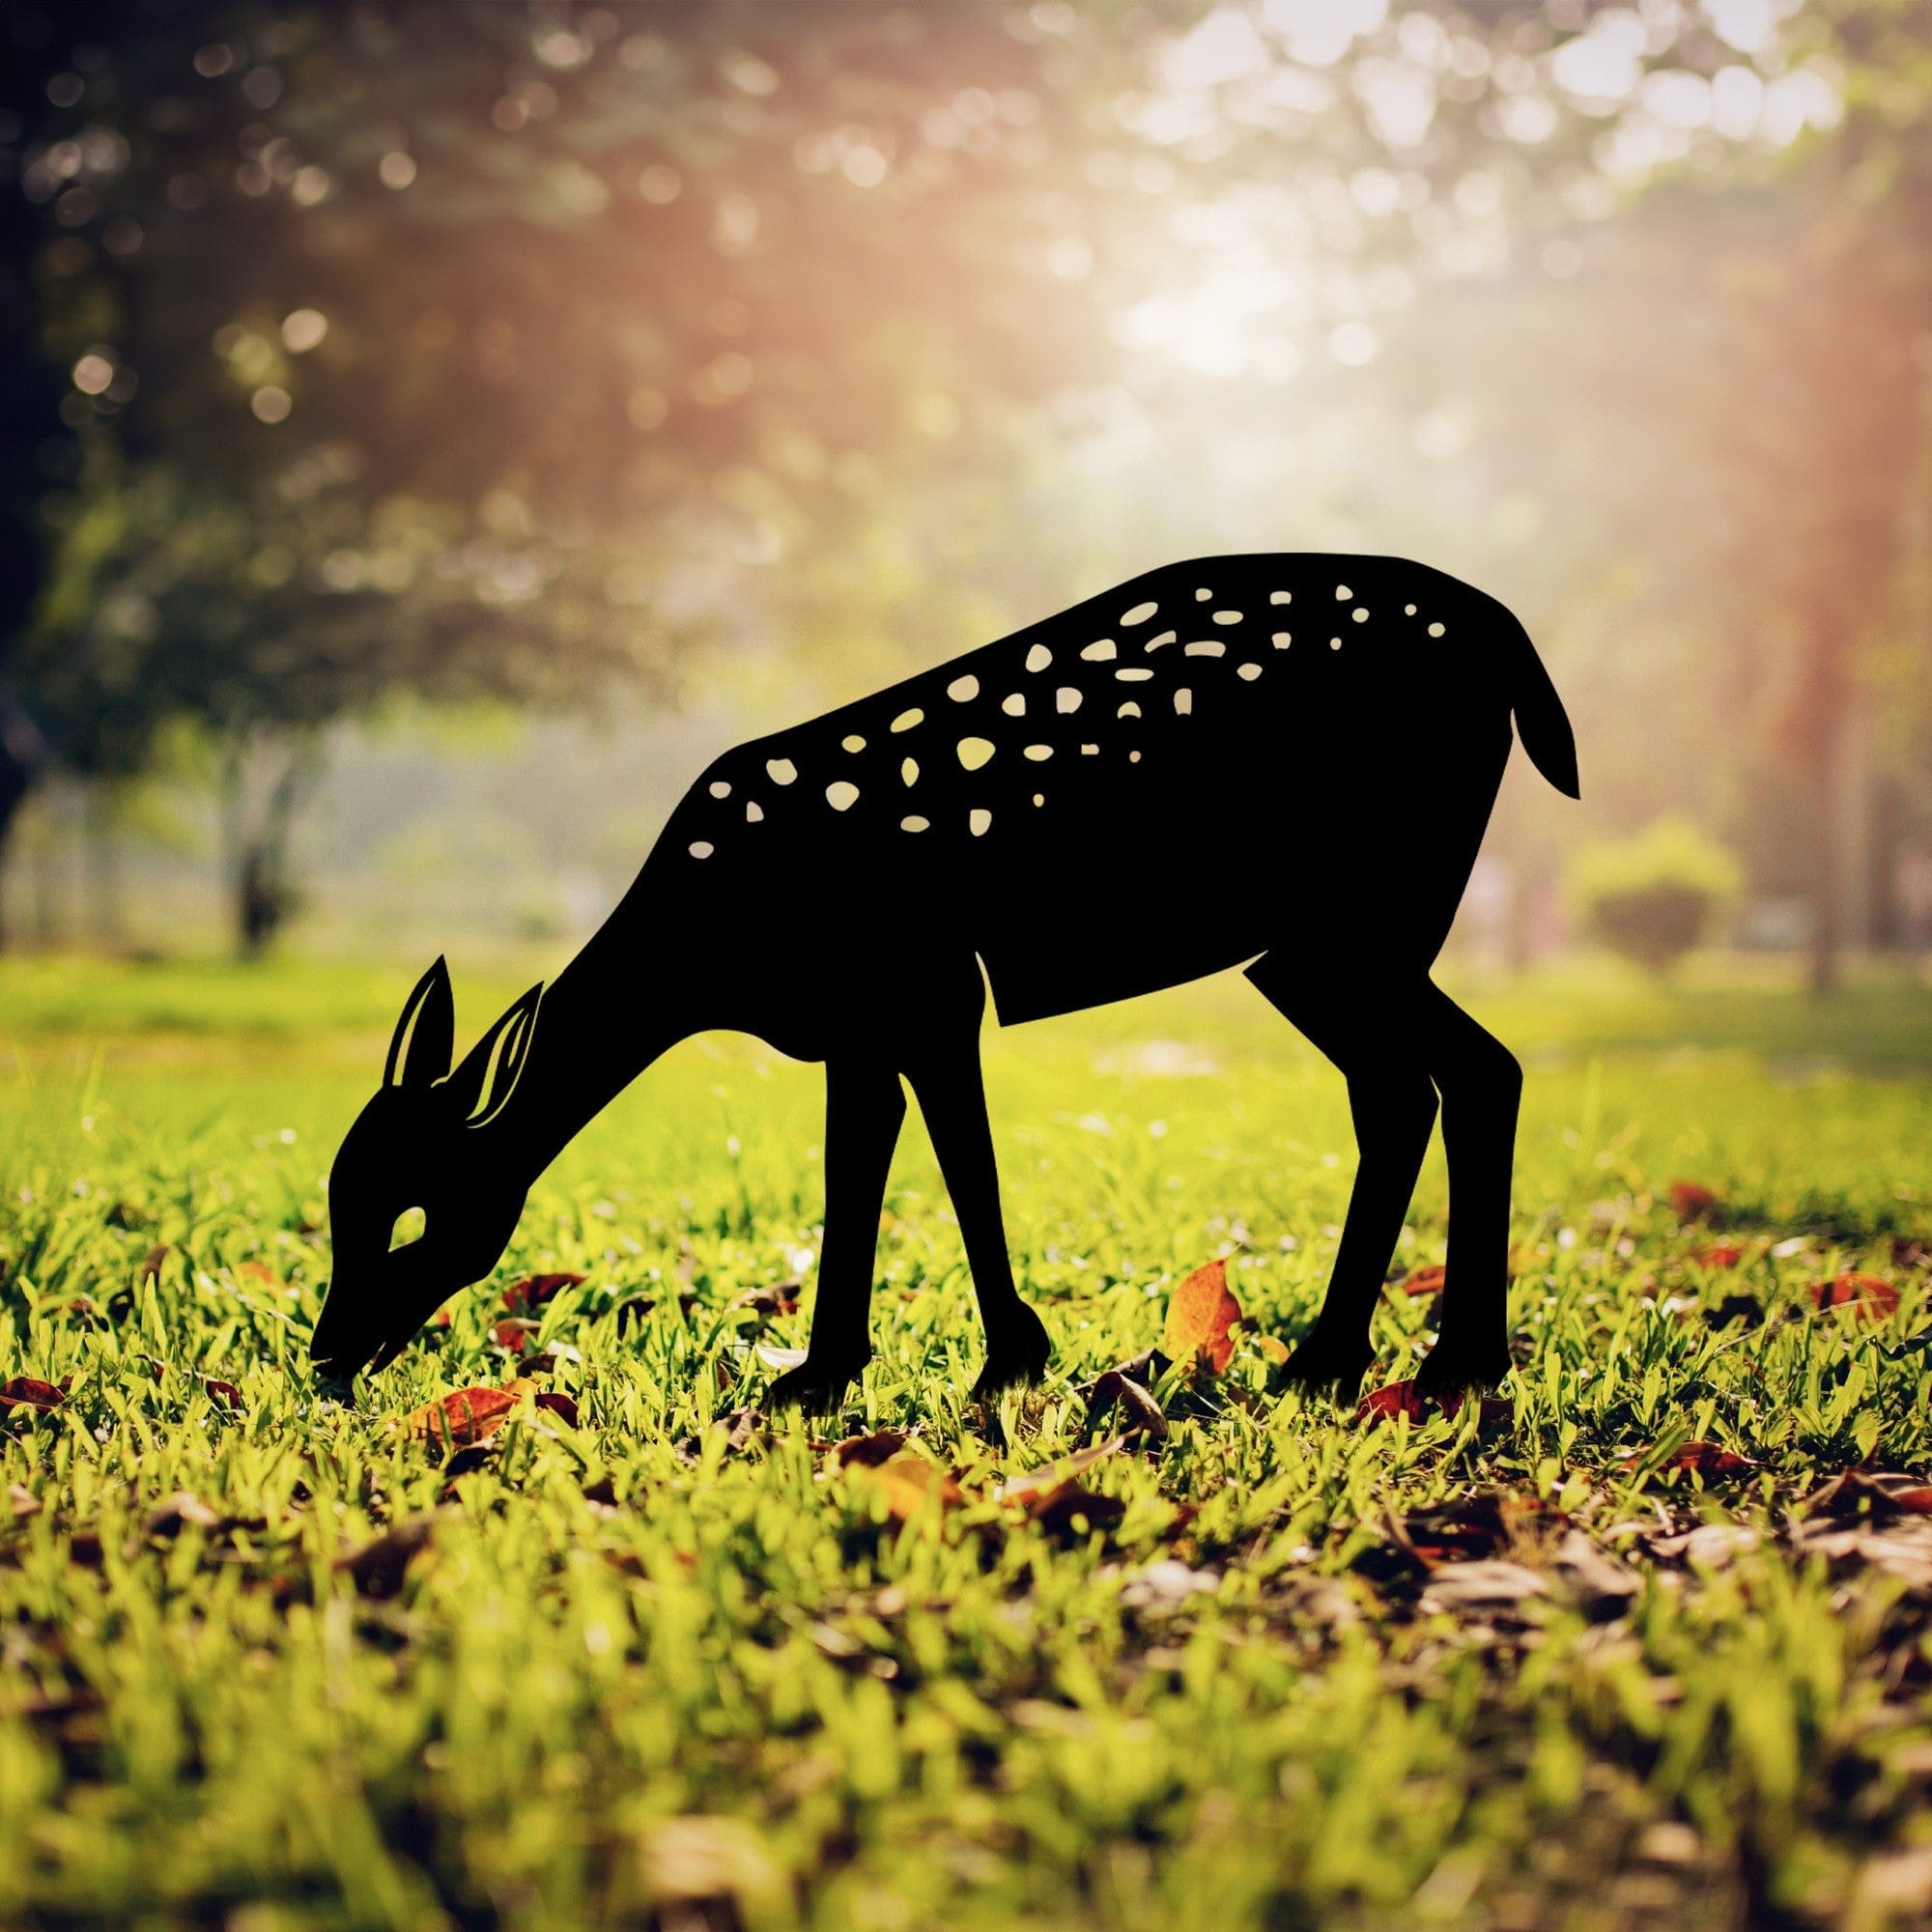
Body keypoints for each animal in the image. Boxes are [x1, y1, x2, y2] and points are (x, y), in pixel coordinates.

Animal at [312, 553, 1578, 1408]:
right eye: (336, 1205)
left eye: (414, 1209)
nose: (326, 1355)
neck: (714, 949)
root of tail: (1516, 651)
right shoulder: (857, 1017)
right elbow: (866, 1159)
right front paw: (828, 1374)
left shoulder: (923, 981)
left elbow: (959, 1158)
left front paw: (1000, 1364)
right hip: (1319, 941)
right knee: (1418, 1083)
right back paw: (1367, 1361)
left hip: (1361, 904)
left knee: (1461, 1071)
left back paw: (1421, 1363)